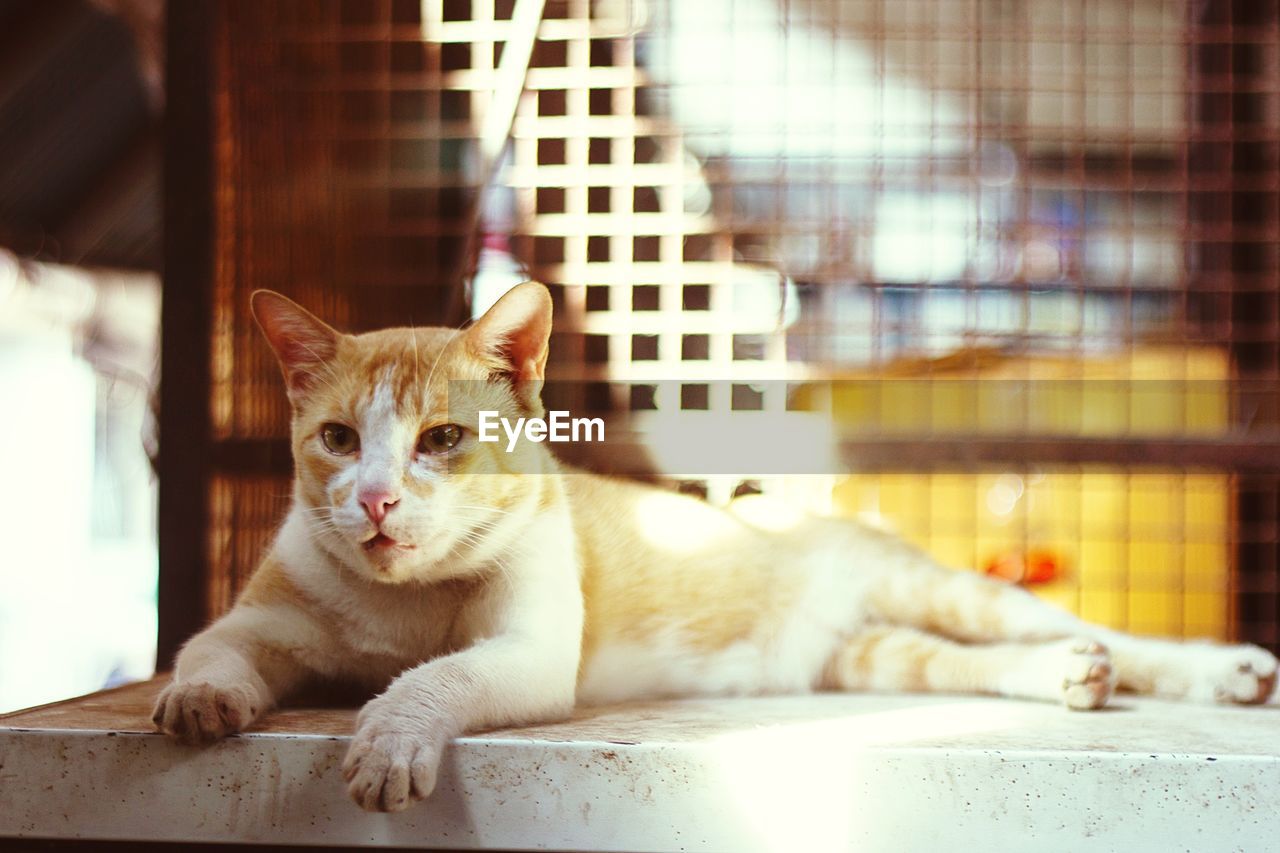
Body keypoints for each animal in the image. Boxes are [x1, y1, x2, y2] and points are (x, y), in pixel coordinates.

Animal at [152, 284, 1280, 809]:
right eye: (340, 440)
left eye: (441, 439)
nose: (377, 500)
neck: (403, 602)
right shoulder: (255, 618)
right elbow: (204, 654)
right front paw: (200, 701)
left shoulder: (530, 654)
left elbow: (437, 677)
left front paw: (389, 737)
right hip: (872, 658)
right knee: (984, 663)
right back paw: (1064, 677)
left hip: (955, 592)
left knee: (1103, 633)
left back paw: (1220, 669)